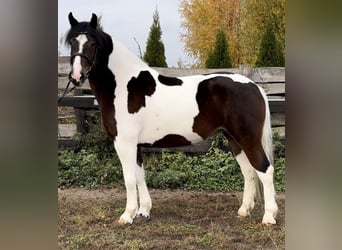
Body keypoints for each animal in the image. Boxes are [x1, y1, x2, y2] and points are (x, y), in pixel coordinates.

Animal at [65, 12, 278, 226]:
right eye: (73, 42)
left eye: (92, 43)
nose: (76, 76)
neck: (124, 85)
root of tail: (254, 87)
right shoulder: (136, 144)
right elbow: (140, 176)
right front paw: (143, 211)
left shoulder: (124, 142)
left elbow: (129, 178)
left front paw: (127, 215)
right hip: (234, 139)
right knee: (249, 172)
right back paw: (244, 210)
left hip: (248, 138)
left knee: (265, 170)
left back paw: (269, 216)